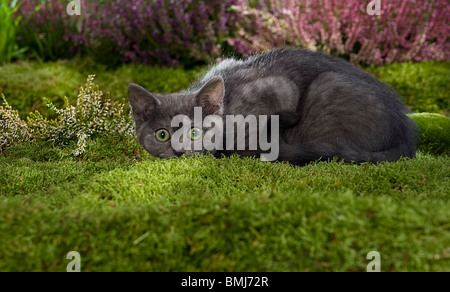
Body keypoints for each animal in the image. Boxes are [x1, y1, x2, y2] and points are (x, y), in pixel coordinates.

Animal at [127, 49, 418, 165]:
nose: (178, 151)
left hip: (327, 87)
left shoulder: (279, 88)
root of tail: (405, 135)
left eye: (195, 132)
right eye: (161, 134)